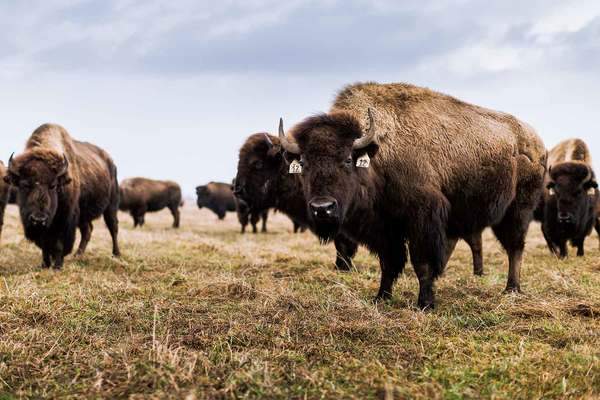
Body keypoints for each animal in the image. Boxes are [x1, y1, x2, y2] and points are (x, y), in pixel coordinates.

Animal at [4, 123, 120, 268]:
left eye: (53, 185)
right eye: (24, 184)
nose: (38, 219)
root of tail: (111, 162)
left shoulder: (65, 219)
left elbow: (59, 244)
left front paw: (57, 266)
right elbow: (44, 245)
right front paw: (45, 264)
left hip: (111, 206)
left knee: (113, 228)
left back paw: (116, 255)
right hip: (84, 215)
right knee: (87, 230)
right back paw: (78, 255)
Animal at [278, 82, 548, 310]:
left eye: (346, 160)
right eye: (303, 163)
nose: (322, 208)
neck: (378, 156)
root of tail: (535, 142)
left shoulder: (422, 219)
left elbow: (421, 263)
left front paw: (425, 304)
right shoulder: (385, 229)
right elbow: (389, 263)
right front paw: (381, 297)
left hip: (517, 211)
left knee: (515, 247)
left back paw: (511, 288)